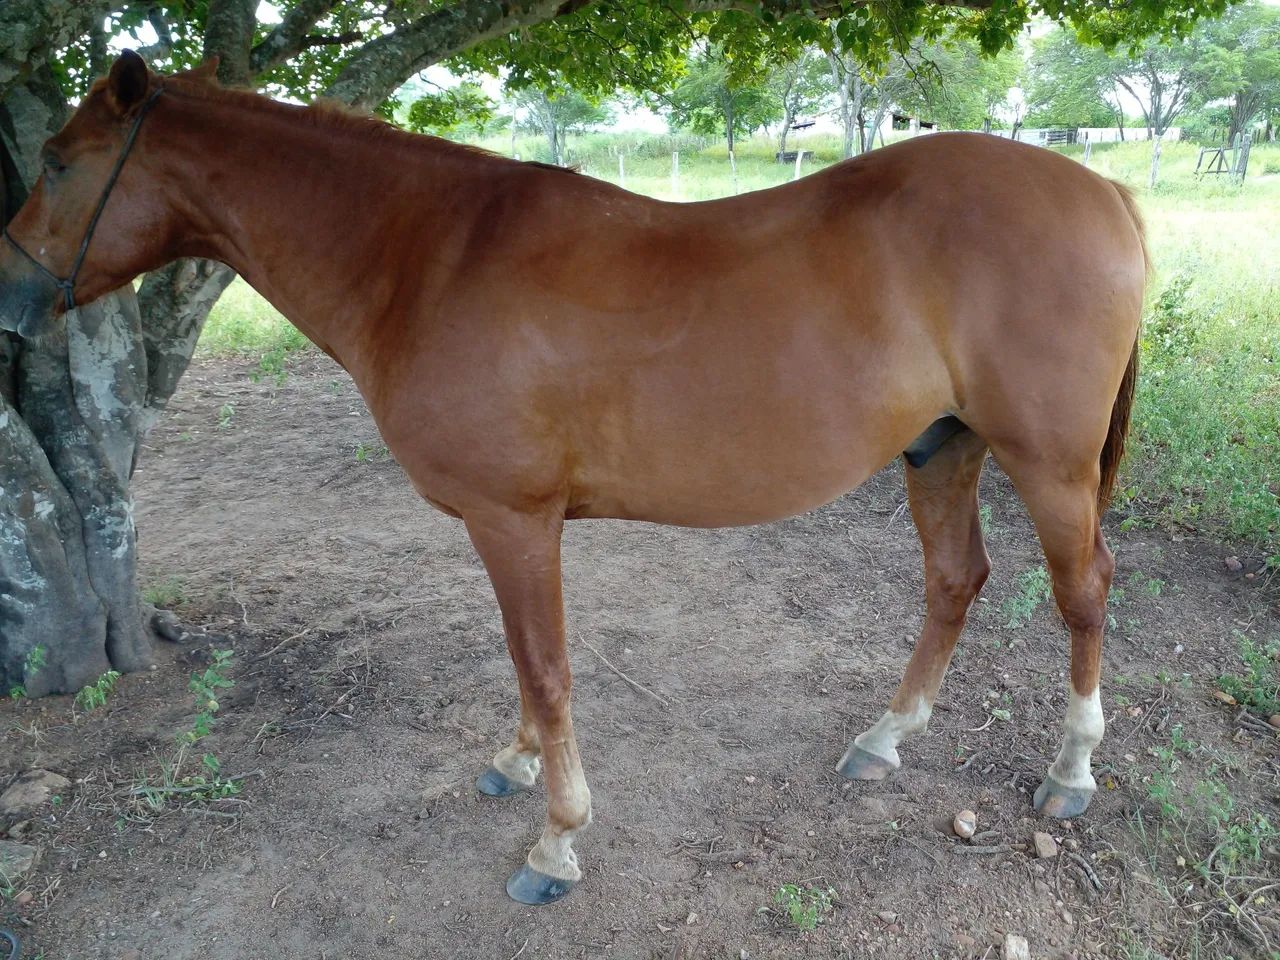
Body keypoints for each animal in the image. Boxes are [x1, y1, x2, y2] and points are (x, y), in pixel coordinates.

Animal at [0, 52, 1146, 905]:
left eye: (56, 161)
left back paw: (1071, 773)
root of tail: (1102, 190)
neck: (426, 260)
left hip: (1045, 464)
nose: (9, 296)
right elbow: (521, 664)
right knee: (954, 582)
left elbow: (544, 669)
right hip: (942, 448)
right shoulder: (507, 525)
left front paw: (556, 841)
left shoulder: (513, 520)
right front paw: (513, 769)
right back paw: (885, 738)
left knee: (1082, 591)